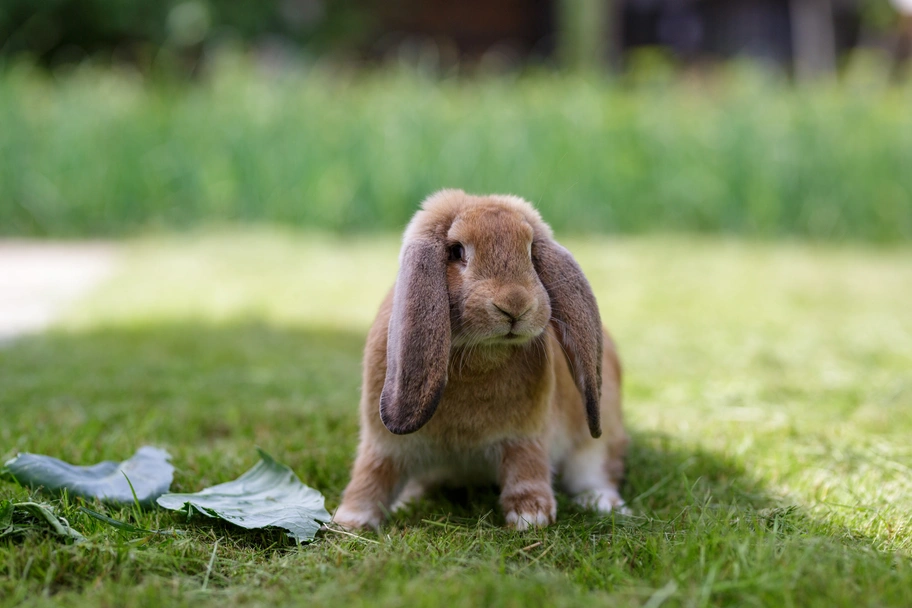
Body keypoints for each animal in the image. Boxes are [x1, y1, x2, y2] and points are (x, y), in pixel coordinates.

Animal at [333, 189, 628, 530]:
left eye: (530, 251)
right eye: (456, 251)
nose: (515, 305)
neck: (477, 352)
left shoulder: (524, 437)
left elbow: (526, 471)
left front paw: (530, 517)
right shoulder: (384, 445)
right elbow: (372, 476)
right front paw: (350, 521)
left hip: (595, 445)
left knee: (597, 474)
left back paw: (604, 504)